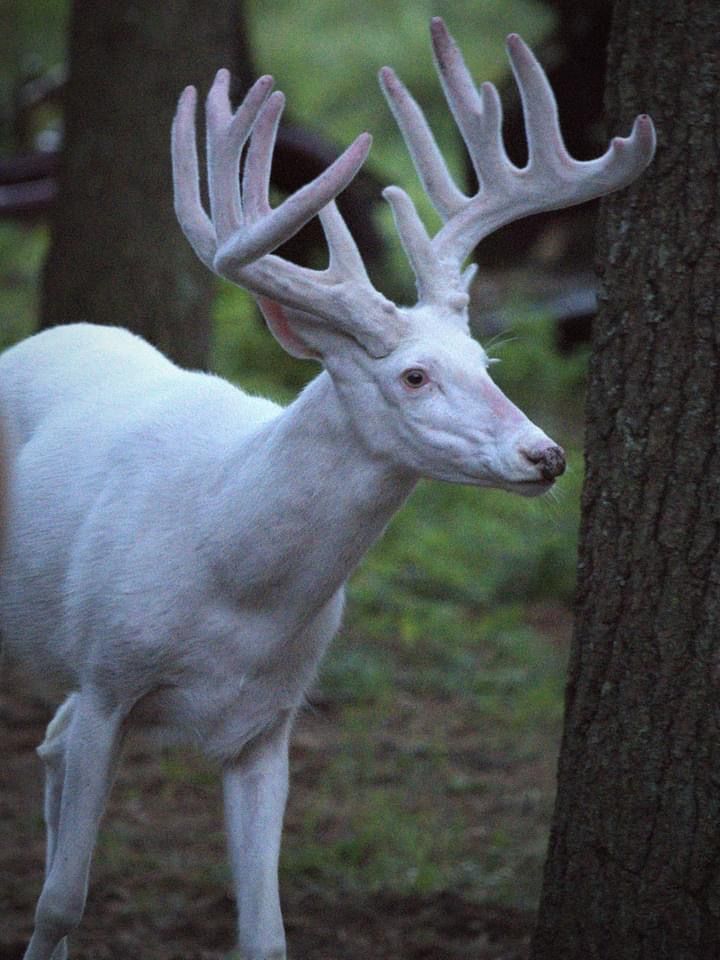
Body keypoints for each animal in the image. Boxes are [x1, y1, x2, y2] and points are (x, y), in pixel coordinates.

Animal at [0, 18, 655, 960]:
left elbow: (265, 934)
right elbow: (61, 899)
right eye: (414, 375)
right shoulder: (107, 677)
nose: (547, 455)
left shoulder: (269, 723)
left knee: (46, 745)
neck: (229, 572)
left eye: (485, 362)